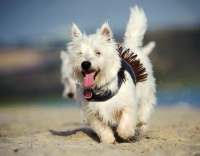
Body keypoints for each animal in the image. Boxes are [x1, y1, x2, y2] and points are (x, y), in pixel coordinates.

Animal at [65, 5, 155, 143]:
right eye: (79, 53)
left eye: (98, 53)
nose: (85, 64)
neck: (99, 88)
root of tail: (131, 47)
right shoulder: (92, 112)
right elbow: (101, 128)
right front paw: (108, 139)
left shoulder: (127, 104)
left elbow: (126, 123)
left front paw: (124, 134)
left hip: (145, 90)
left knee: (145, 108)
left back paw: (141, 123)